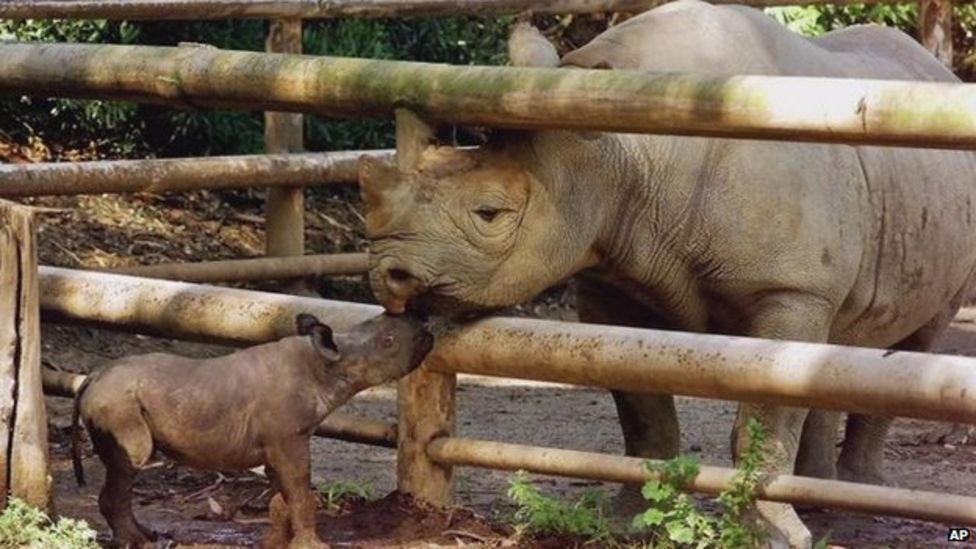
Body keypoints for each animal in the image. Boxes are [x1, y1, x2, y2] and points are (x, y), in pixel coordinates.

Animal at [72, 310, 430, 544]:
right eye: (388, 341)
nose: (426, 327)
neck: (325, 365)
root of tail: (92, 376)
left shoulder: (280, 442)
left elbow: (285, 495)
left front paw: (278, 542)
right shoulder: (289, 437)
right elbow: (301, 491)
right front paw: (313, 545)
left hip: (116, 397)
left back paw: (151, 536)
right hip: (116, 402)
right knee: (132, 458)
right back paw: (140, 543)